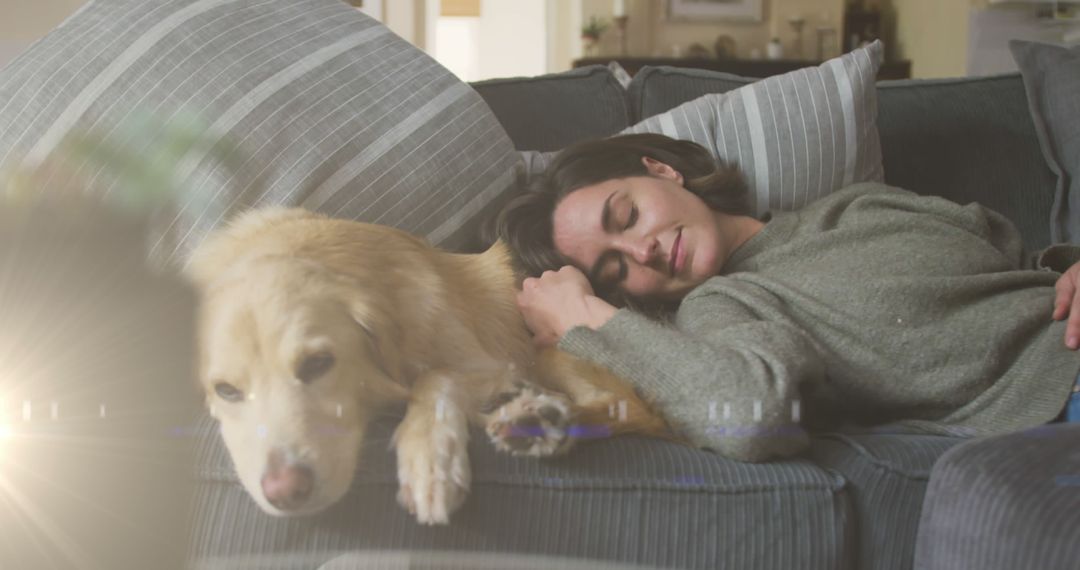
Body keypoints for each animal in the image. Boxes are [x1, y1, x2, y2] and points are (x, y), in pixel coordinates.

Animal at [184, 208, 673, 524]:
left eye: (319, 363)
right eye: (225, 390)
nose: (286, 492)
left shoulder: (487, 362)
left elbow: (433, 378)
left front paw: (431, 459)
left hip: (549, 352)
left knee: (633, 410)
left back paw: (539, 422)